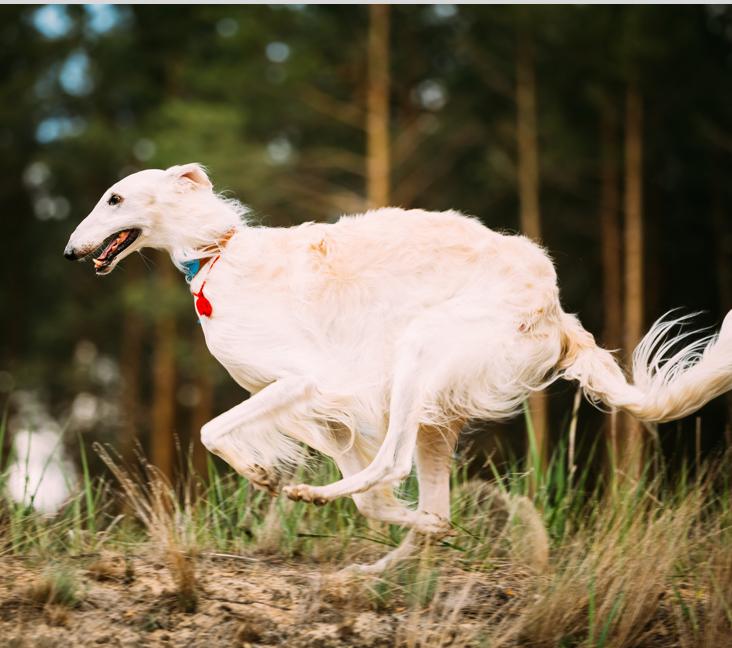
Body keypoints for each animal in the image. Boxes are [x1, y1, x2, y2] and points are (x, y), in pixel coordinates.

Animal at [66, 163, 728, 572]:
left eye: (114, 198)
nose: (71, 252)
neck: (216, 255)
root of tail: (555, 307)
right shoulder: (329, 414)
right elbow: (372, 501)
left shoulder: (306, 382)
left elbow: (213, 431)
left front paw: (261, 473)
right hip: (435, 413)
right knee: (430, 511)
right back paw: (372, 567)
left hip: (419, 351)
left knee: (394, 464)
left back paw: (320, 499)